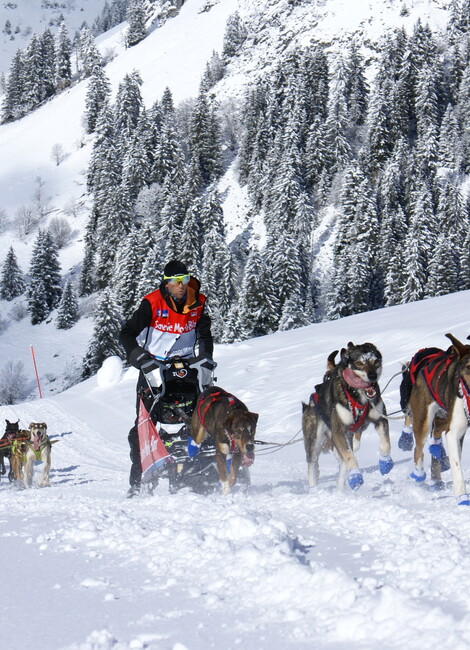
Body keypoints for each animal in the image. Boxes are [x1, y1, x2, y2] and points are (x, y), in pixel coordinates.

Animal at [302, 342, 392, 488]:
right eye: (359, 363)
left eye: (375, 361)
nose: (372, 375)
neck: (358, 398)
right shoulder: (338, 431)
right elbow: (350, 457)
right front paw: (355, 476)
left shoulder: (380, 419)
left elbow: (386, 444)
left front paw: (385, 462)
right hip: (315, 440)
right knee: (312, 465)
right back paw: (314, 488)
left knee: (343, 463)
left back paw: (340, 487)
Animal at [402, 332, 470, 504]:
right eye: (468, 366)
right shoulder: (454, 432)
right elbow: (457, 467)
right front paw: (462, 497)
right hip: (424, 419)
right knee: (418, 450)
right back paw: (418, 474)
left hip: (443, 415)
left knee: (438, 429)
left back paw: (436, 448)